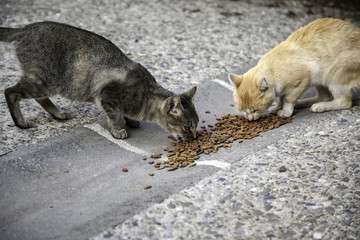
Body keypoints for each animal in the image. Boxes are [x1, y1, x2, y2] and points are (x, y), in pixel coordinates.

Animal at [0, 22, 198, 141]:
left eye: (196, 125)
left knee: (38, 97)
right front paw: (118, 130)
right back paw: (21, 122)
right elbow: (114, 116)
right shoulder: (107, 96)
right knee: (10, 91)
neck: (145, 95)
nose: (195, 137)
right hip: (43, 81)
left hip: (44, 84)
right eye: (188, 127)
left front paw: (131, 121)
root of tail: (27, 28)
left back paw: (58, 114)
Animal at [231, 17, 360, 120]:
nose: (249, 119)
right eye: (241, 109)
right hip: (321, 79)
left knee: (345, 102)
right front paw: (278, 107)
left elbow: (288, 99)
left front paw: (285, 110)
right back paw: (305, 103)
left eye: (256, 110)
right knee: (324, 97)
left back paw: (320, 106)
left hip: (334, 75)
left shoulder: (302, 81)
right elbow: (282, 98)